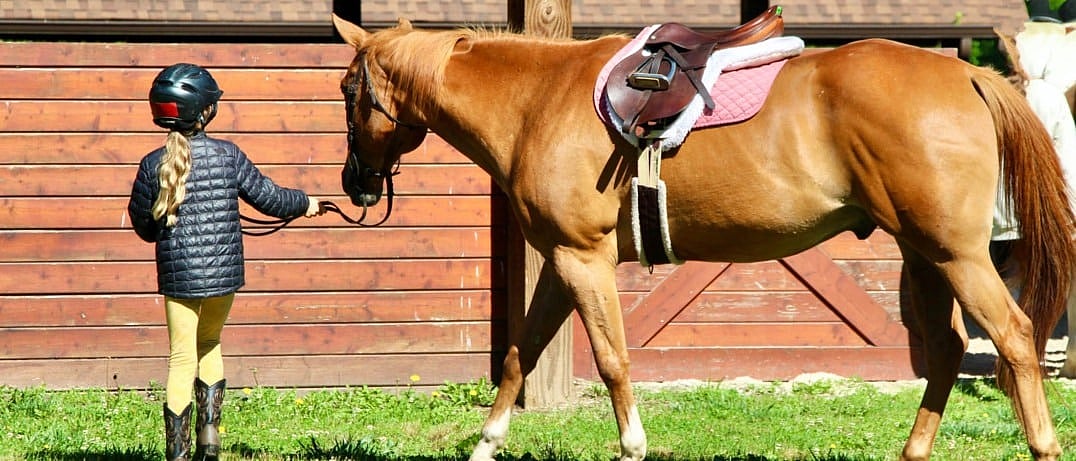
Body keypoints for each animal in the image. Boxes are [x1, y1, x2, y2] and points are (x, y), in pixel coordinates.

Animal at [331, 14, 1076, 461]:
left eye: (345, 89)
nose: (354, 182)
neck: (536, 100)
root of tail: (968, 73)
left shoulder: (583, 260)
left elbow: (612, 360)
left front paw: (632, 444)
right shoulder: (563, 261)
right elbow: (520, 354)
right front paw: (487, 442)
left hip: (956, 255)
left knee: (1013, 337)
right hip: (923, 256)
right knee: (947, 350)